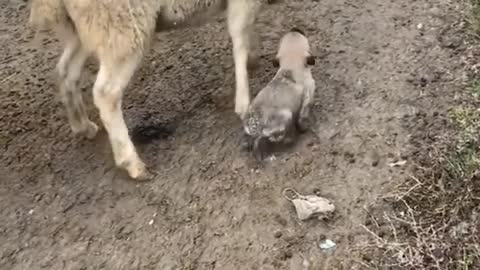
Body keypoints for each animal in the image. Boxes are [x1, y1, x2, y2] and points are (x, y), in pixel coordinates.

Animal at [244, 27, 316, 159]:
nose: (295, 28)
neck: (289, 68)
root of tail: (257, 129)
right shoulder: (308, 95)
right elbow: (303, 116)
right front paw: (304, 128)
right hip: (287, 117)